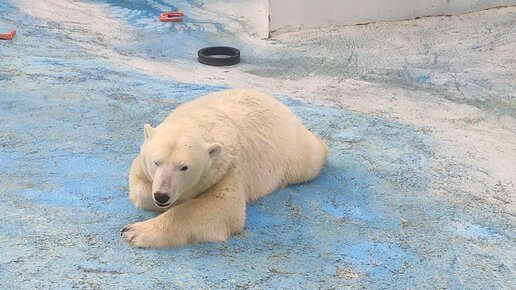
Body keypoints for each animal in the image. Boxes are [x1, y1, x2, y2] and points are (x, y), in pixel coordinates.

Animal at [123, 88, 328, 247]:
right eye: (156, 162)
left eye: (184, 167)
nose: (162, 196)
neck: (201, 118)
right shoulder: (142, 163)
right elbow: (139, 186)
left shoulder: (229, 167)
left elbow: (222, 207)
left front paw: (133, 231)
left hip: (292, 152)